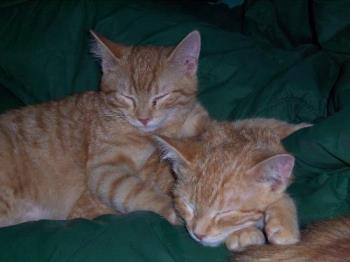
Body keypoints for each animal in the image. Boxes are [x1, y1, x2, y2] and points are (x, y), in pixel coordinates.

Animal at [0, 30, 208, 227]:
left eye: (160, 97)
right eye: (127, 97)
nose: (144, 119)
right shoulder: (104, 170)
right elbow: (135, 191)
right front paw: (170, 207)